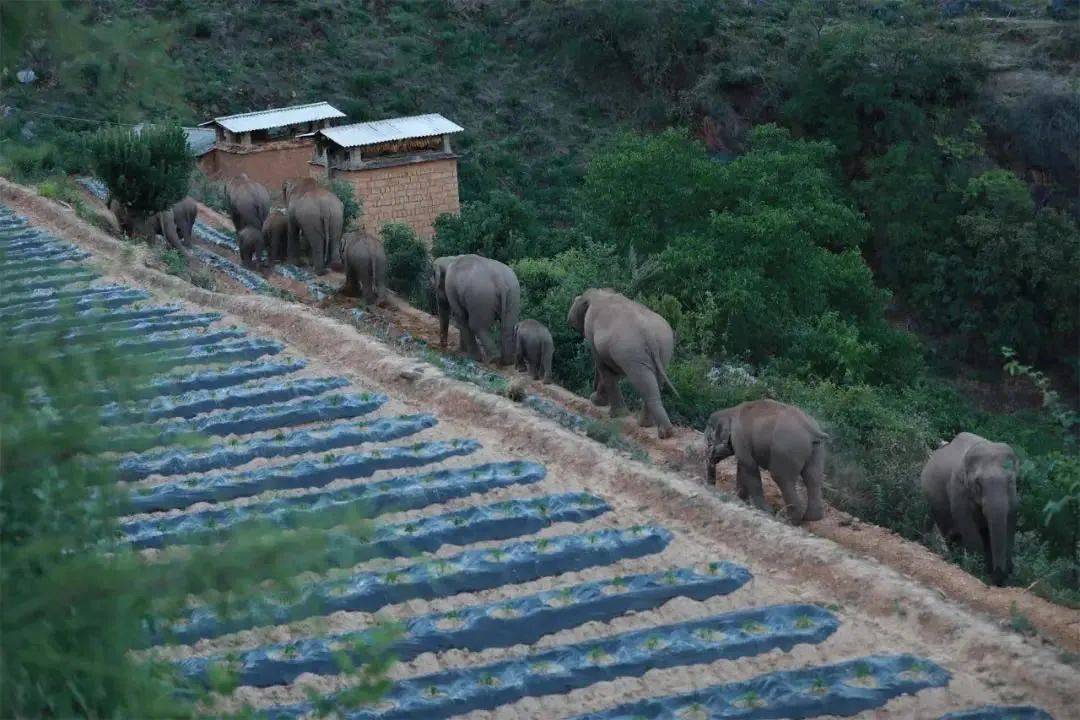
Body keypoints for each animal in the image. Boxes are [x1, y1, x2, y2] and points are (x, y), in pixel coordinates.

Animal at [565, 289, 673, 440]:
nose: (591, 391)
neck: (598, 292)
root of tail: (649, 334)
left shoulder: (591, 329)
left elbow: (603, 366)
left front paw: (599, 403)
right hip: (663, 349)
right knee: (655, 382)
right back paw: (653, 427)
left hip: (632, 351)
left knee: (641, 380)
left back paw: (659, 430)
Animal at [920, 433, 1019, 587]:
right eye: (978, 482)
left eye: (1010, 480)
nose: (998, 578)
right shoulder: (958, 489)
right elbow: (966, 524)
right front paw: (978, 571)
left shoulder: (1014, 496)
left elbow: (1010, 521)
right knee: (950, 533)